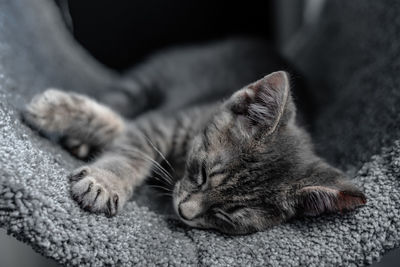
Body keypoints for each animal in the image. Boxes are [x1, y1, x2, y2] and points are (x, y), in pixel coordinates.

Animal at [24, 70, 366, 236]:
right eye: (202, 173)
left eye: (227, 215)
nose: (184, 213)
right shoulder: (163, 123)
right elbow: (129, 145)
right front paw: (105, 181)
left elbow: (121, 129)